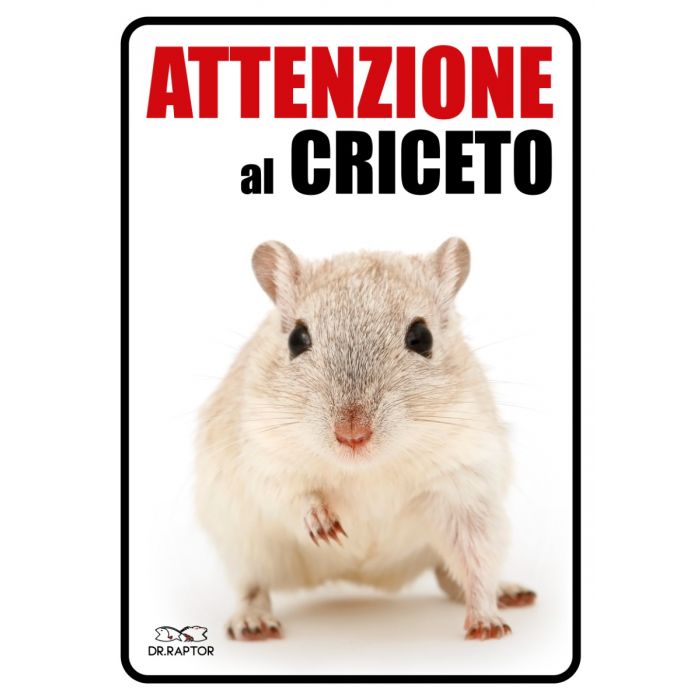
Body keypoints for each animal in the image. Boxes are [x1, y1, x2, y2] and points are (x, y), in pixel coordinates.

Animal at [195, 238, 535, 641]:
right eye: (296, 340)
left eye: (422, 338)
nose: (352, 435)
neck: (368, 468)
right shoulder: (264, 457)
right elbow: (291, 496)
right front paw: (325, 527)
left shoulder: (465, 482)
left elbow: (477, 560)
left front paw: (487, 625)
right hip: (243, 546)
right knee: (252, 587)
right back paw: (253, 624)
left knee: (451, 575)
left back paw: (511, 594)